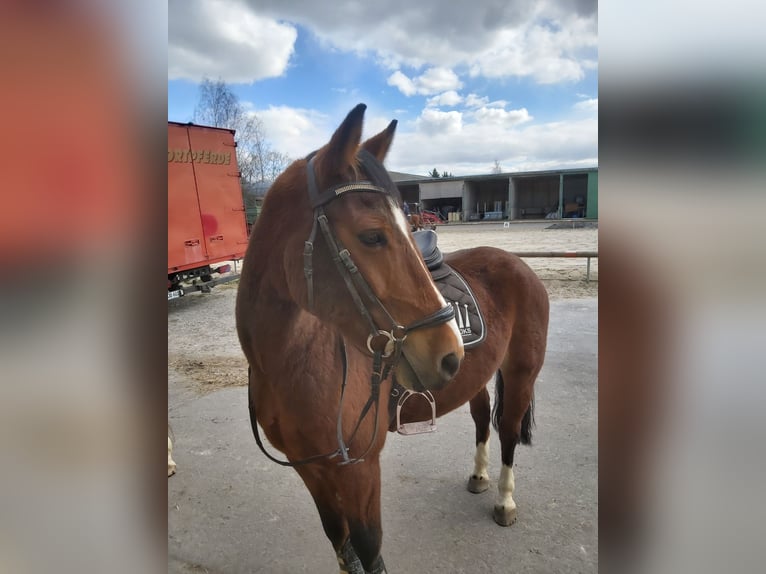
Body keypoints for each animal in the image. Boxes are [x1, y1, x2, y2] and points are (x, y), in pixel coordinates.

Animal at [237, 104, 548, 574]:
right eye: (372, 235)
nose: (448, 352)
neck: (294, 362)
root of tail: (517, 263)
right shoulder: (312, 471)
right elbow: (340, 542)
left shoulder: (362, 470)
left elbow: (369, 549)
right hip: (477, 375)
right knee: (481, 418)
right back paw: (478, 476)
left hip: (521, 373)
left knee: (509, 430)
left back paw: (505, 501)